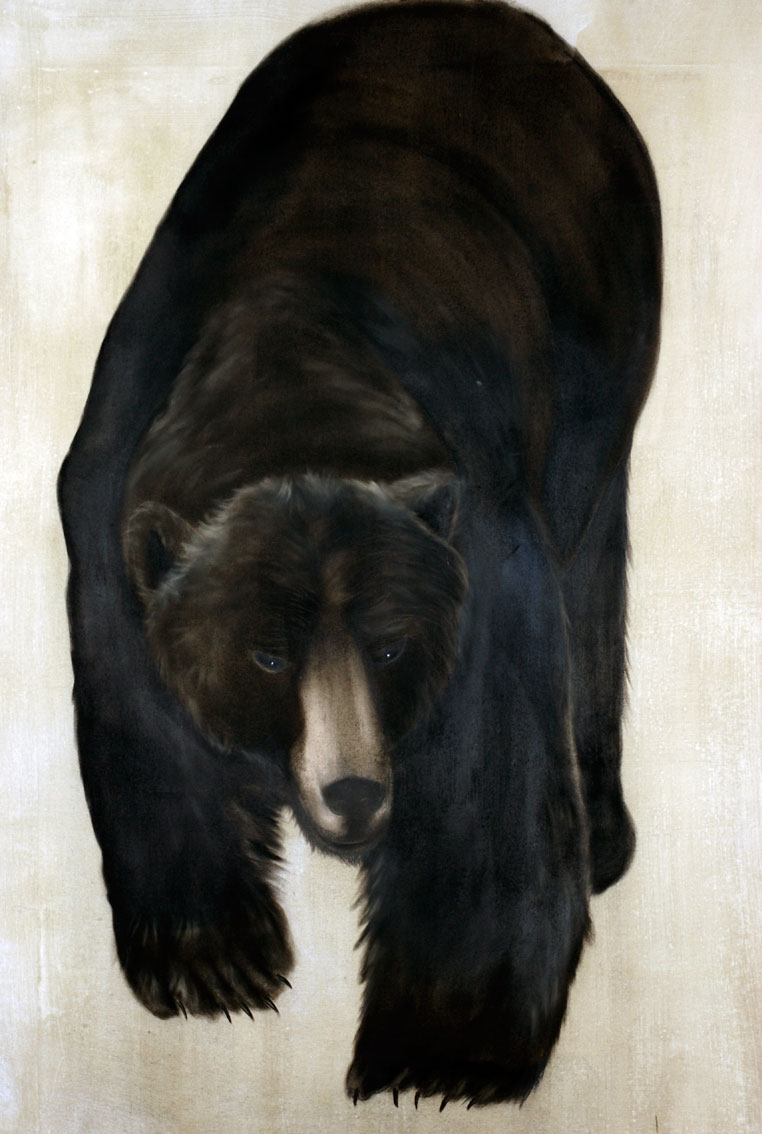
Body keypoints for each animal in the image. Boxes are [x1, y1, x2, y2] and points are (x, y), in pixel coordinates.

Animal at [58, 0, 661, 1109]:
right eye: (265, 654)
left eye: (388, 646)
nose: (350, 793)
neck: (286, 366)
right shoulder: (112, 507)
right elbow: (146, 725)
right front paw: (215, 962)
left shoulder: (487, 547)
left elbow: (488, 786)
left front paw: (444, 1051)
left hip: (604, 367)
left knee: (594, 576)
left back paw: (603, 840)